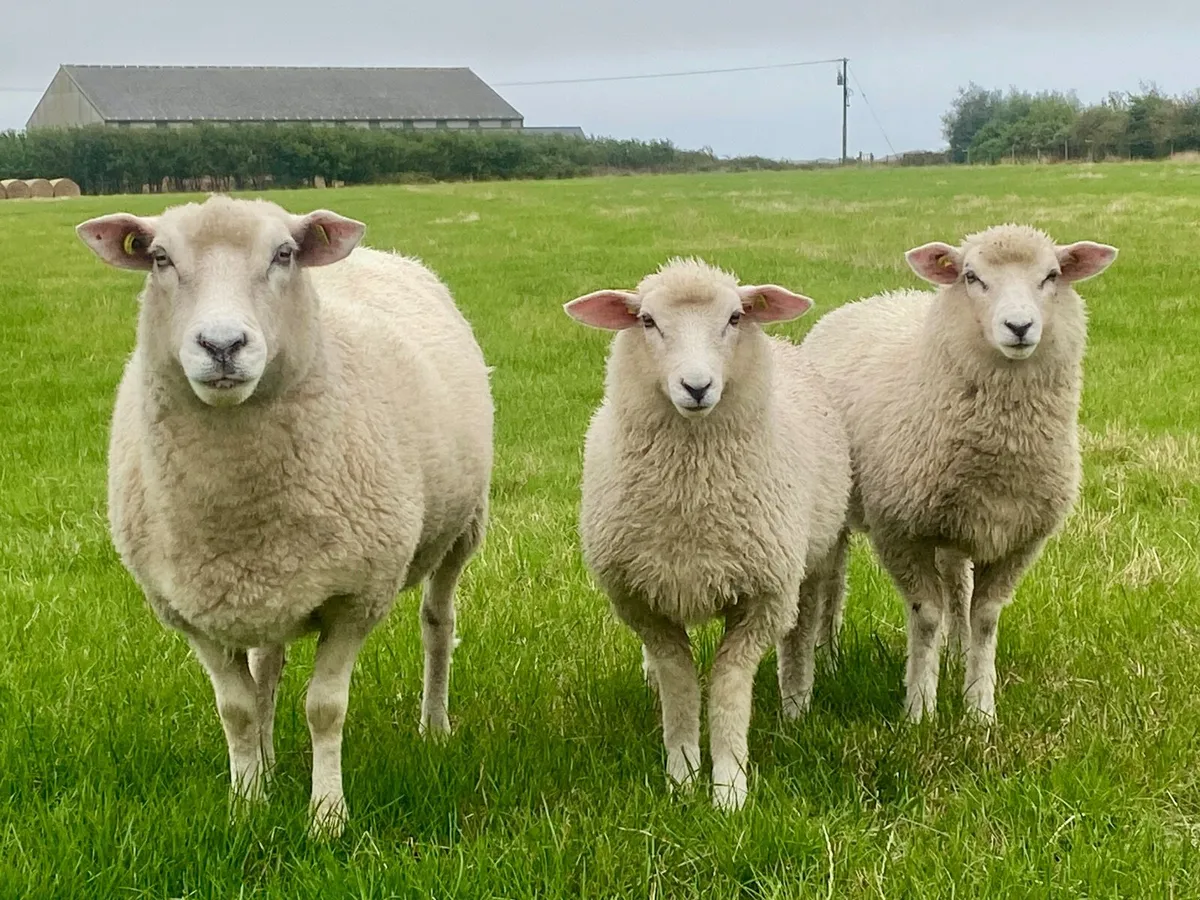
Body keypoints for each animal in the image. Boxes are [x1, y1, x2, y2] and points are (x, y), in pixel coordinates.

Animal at [76, 195, 493, 835]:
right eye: (160, 258)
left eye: (284, 254)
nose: (222, 345)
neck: (239, 506)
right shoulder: (192, 609)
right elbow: (237, 708)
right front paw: (248, 802)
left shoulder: (356, 597)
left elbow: (324, 709)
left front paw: (327, 818)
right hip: (268, 584)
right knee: (266, 663)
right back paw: (270, 761)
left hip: (463, 527)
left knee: (437, 625)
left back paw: (434, 726)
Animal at [564, 258, 851, 810]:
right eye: (647, 321)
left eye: (735, 317)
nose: (696, 387)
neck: (692, 496)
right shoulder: (641, 599)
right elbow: (680, 684)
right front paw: (680, 775)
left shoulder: (763, 596)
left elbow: (727, 687)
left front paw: (729, 787)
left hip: (811, 561)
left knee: (801, 633)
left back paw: (796, 702)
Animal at [791, 224, 1117, 722]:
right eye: (971, 277)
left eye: (1052, 275)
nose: (1019, 327)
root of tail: (871, 299)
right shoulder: (900, 530)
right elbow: (926, 615)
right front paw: (920, 710)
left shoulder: (1018, 538)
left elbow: (984, 617)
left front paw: (979, 708)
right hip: (842, 508)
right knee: (834, 582)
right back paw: (828, 655)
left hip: (956, 523)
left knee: (956, 587)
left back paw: (955, 652)